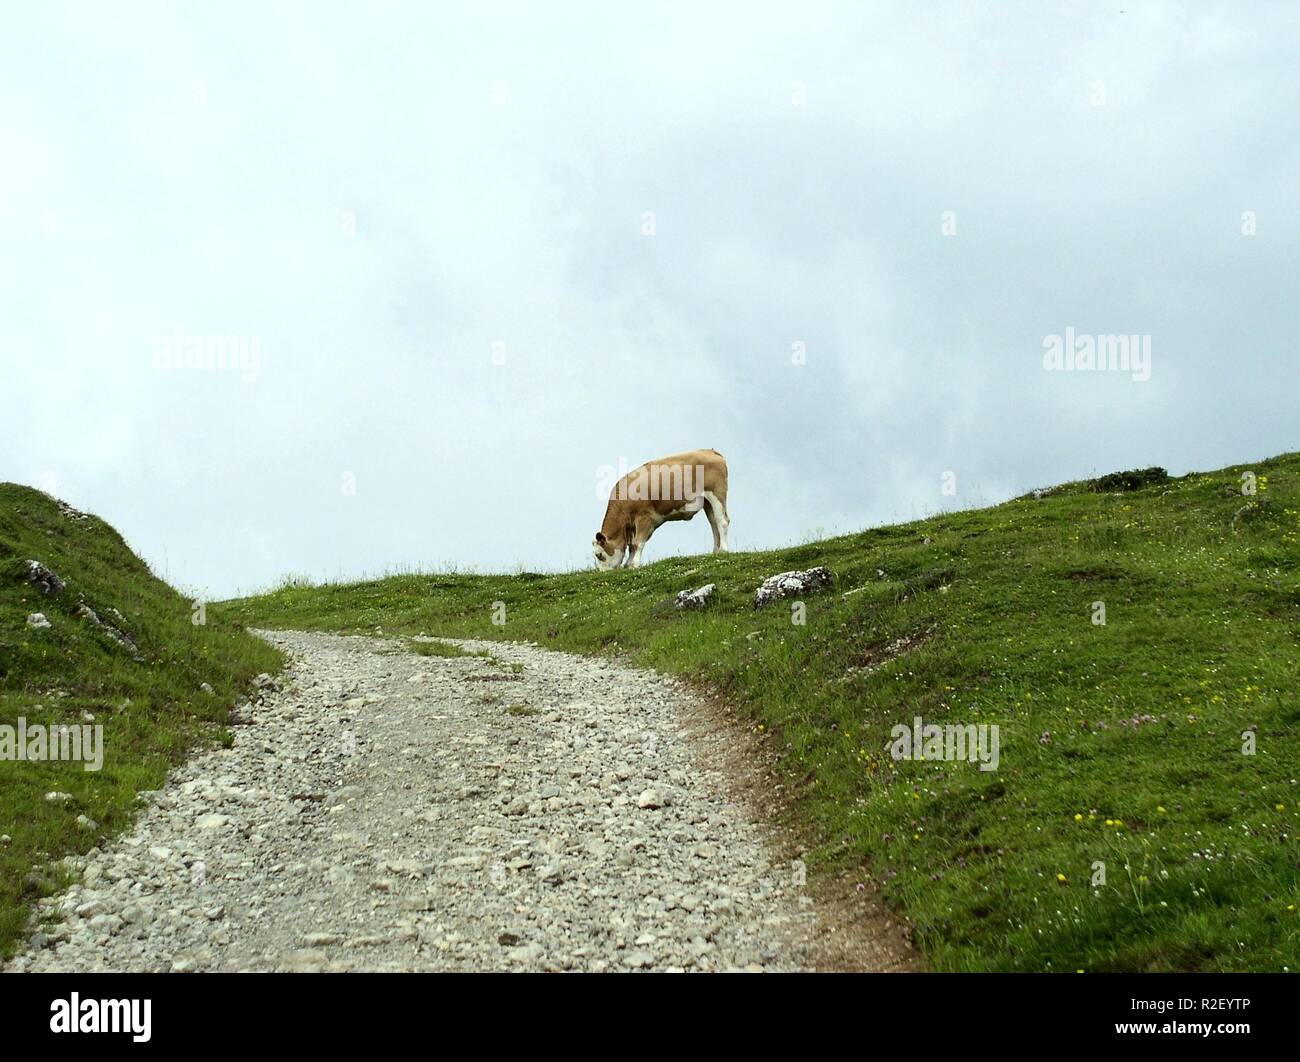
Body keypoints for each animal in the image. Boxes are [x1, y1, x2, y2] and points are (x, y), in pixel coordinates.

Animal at [592, 444, 728, 566]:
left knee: (722, 521)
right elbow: (632, 546)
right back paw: (716, 551)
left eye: (599, 555)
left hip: (717, 494)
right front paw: (628, 564)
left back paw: (724, 550)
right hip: (707, 502)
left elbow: (638, 543)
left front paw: (634, 564)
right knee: (713, 523)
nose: (603, 574)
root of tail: (710, 451)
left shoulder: (644, 518)